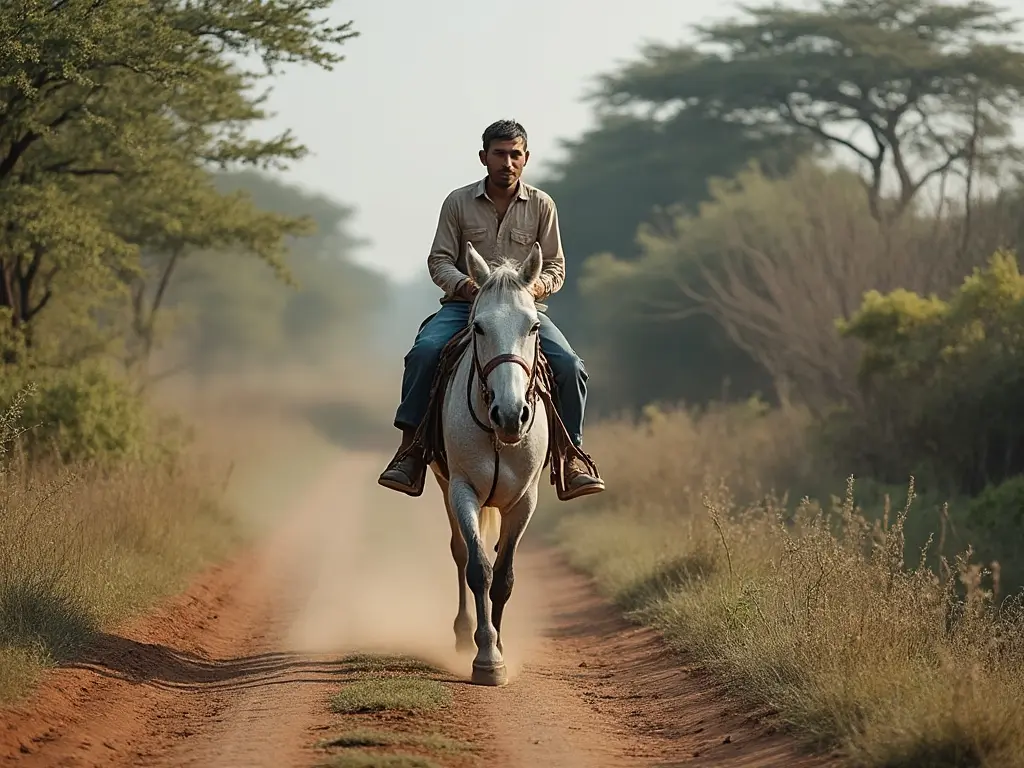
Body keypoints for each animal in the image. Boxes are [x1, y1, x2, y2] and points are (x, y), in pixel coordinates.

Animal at [432, 243, 552, 688]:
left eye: (534, 327)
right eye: (479, 328)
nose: (511, 414)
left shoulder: (524, 501)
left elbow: (503, 577)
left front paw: (499, 646)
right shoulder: (463, 489)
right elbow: (479, 569)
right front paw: (486, 657)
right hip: (444, 485)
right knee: (461, 552)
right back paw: (463, 633)